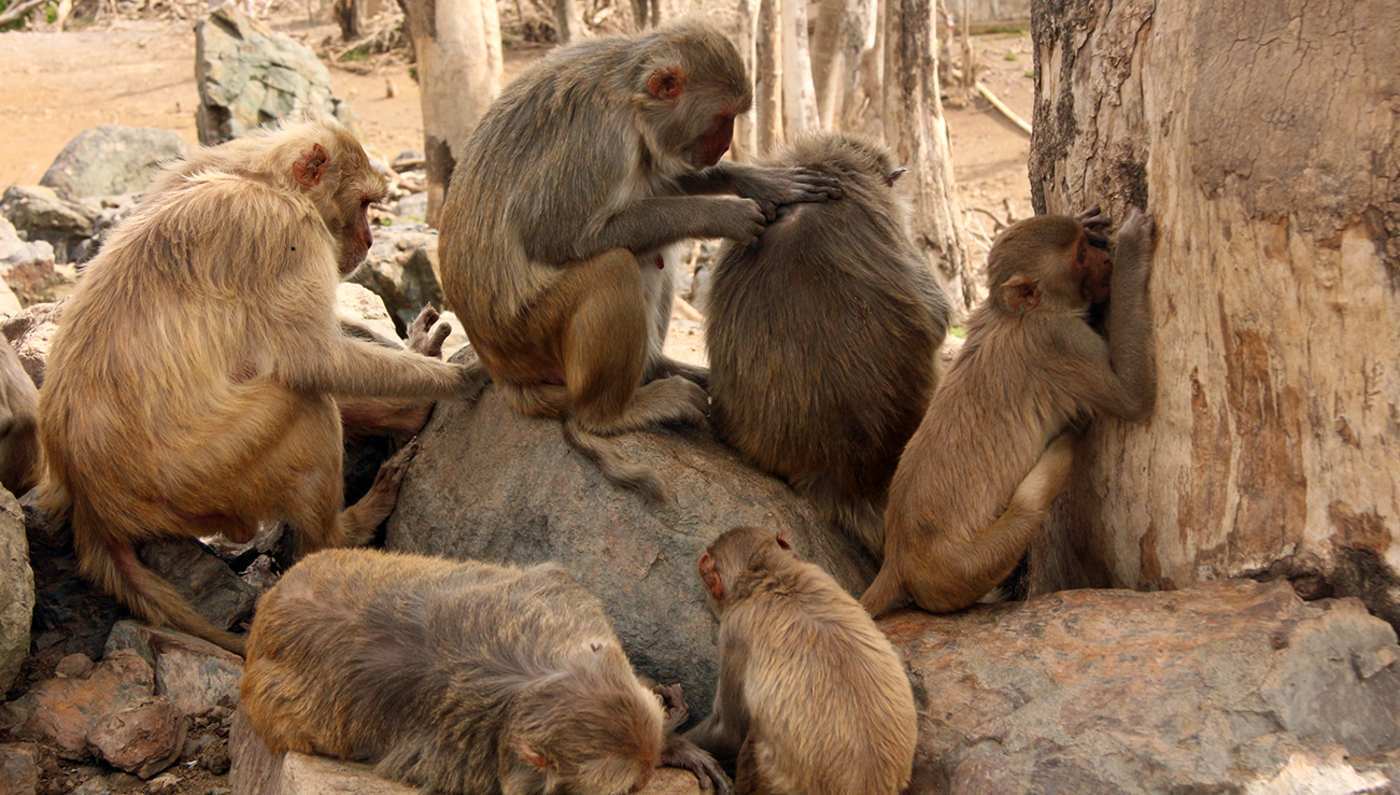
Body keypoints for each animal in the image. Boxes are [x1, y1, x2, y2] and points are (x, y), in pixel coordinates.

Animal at [36, 119, 477, 656]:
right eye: (364, 205)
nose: (371, 240)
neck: (264, 179)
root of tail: (89, 502)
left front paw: (417, 352)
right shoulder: (286, 232)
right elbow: (312, 359)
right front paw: (457, 380)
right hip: (209, 477)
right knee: (303, 399)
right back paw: (345, 528)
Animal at [241, 548, 732, 795]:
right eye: (630, 791)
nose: (649, 778)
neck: (531, 674)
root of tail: (264, 609)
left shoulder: (567, 605)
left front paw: (671, 735)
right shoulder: (470, 761)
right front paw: (673, 742)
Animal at [438, 20, 842, 503]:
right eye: (723, 117)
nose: (725, 146)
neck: (629, 96)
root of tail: (504, 375)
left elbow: (662, 178)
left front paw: (760, 181)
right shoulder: (598, 140)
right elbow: (554, 235)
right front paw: (725, 214)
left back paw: (659, 369)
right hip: (530, 337)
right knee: (614, 268)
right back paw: (613, 413)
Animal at [861, 207, 1158, 617]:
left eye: (1085, 242)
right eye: (1081, 256)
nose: (1105, 260)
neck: (1018, 315)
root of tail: (897, 561)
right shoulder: (1060, 340)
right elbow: (1134, 397)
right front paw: (1131, 250)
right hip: (960, 569)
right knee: (1028, 509)